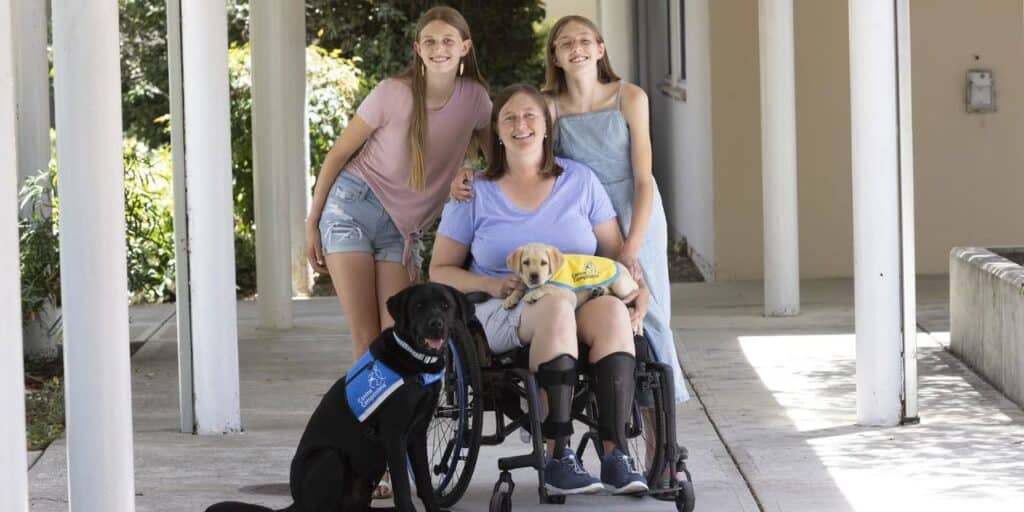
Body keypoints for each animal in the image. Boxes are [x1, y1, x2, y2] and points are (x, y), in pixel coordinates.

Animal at [204, 282, 475, 512]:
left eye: (446, 306)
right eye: (418, 306)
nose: (436, 324)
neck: (415, 363)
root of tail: (295, 502)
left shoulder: (417, 434)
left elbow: (426, 484)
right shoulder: (394, 434)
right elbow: (403, 489)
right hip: (329, 458)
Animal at [501, 242, 638, 335]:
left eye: (544, 263)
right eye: (526, 262)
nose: (534, 276)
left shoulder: (570, 295)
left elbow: (549, 286)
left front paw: (532, 294)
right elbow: (521, 287)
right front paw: (510, 298)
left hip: (621, 286)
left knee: (633, 299)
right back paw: (599, 291)